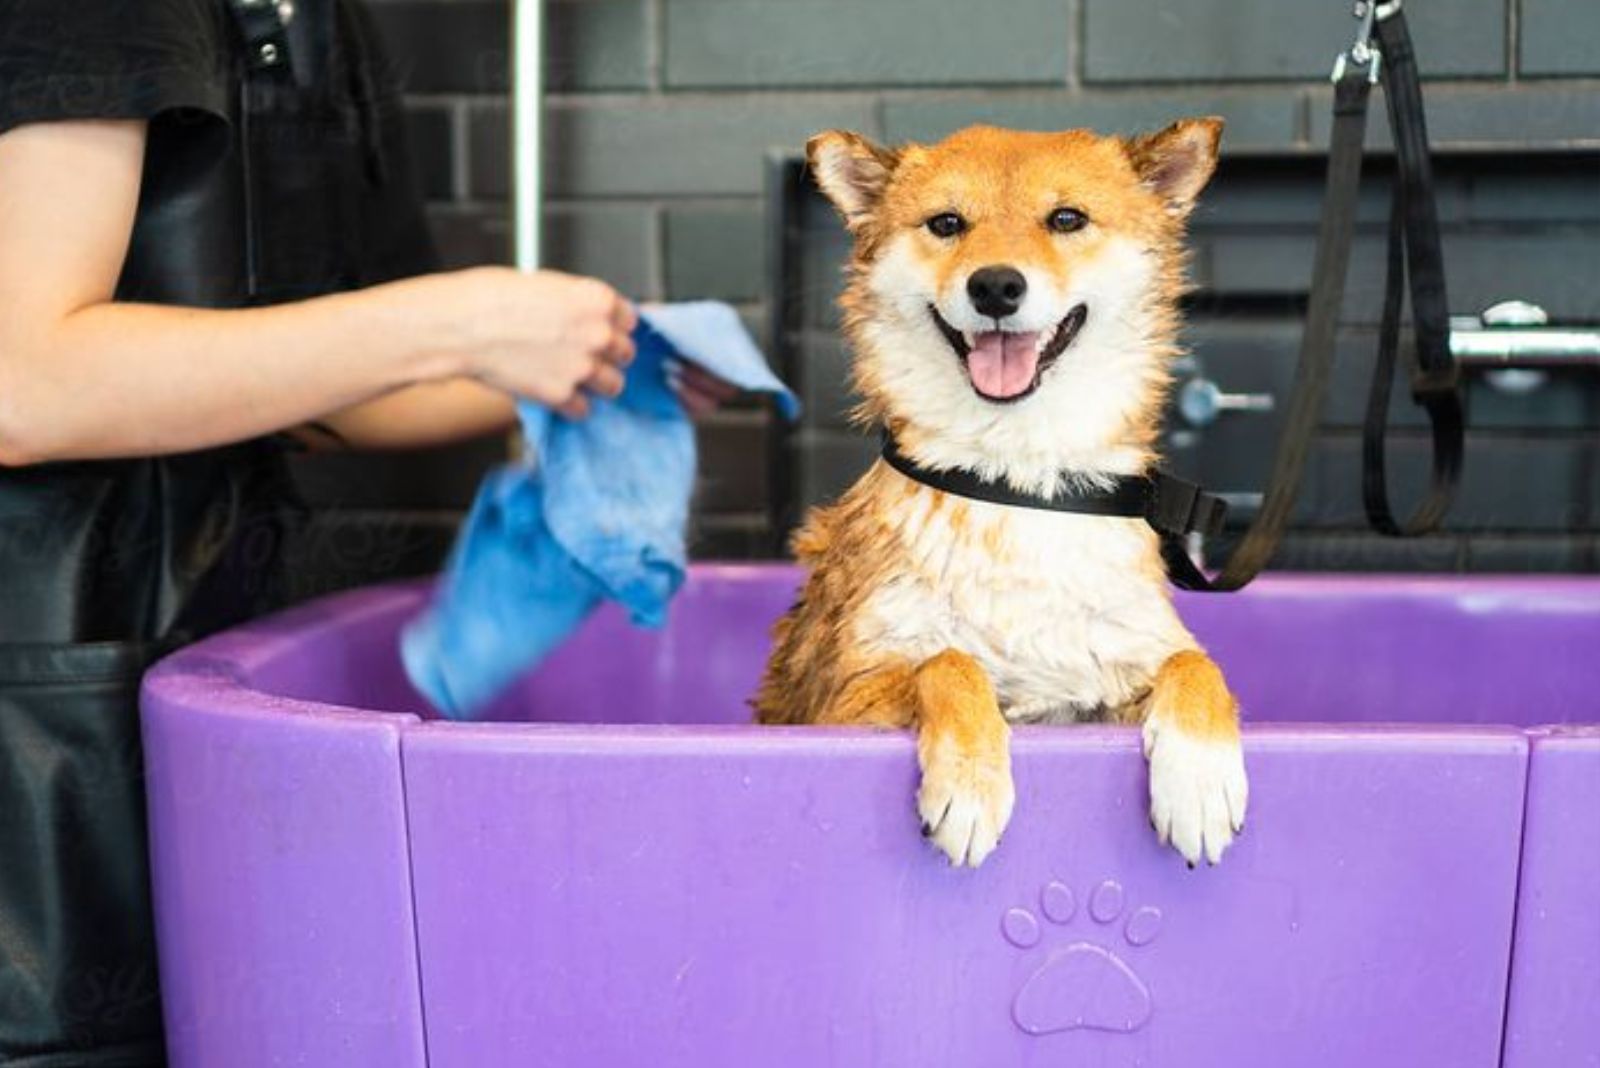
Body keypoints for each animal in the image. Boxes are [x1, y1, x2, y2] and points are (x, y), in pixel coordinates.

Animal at [752, 119, 1248, 869]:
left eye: (1066, 219)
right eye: (947, 223)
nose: (995, 286)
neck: (1017, 487)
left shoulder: (1111, 674)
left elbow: (1194, 662)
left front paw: (1200, 776)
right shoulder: (841, 700)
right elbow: (950, 661)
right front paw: (970, 782)